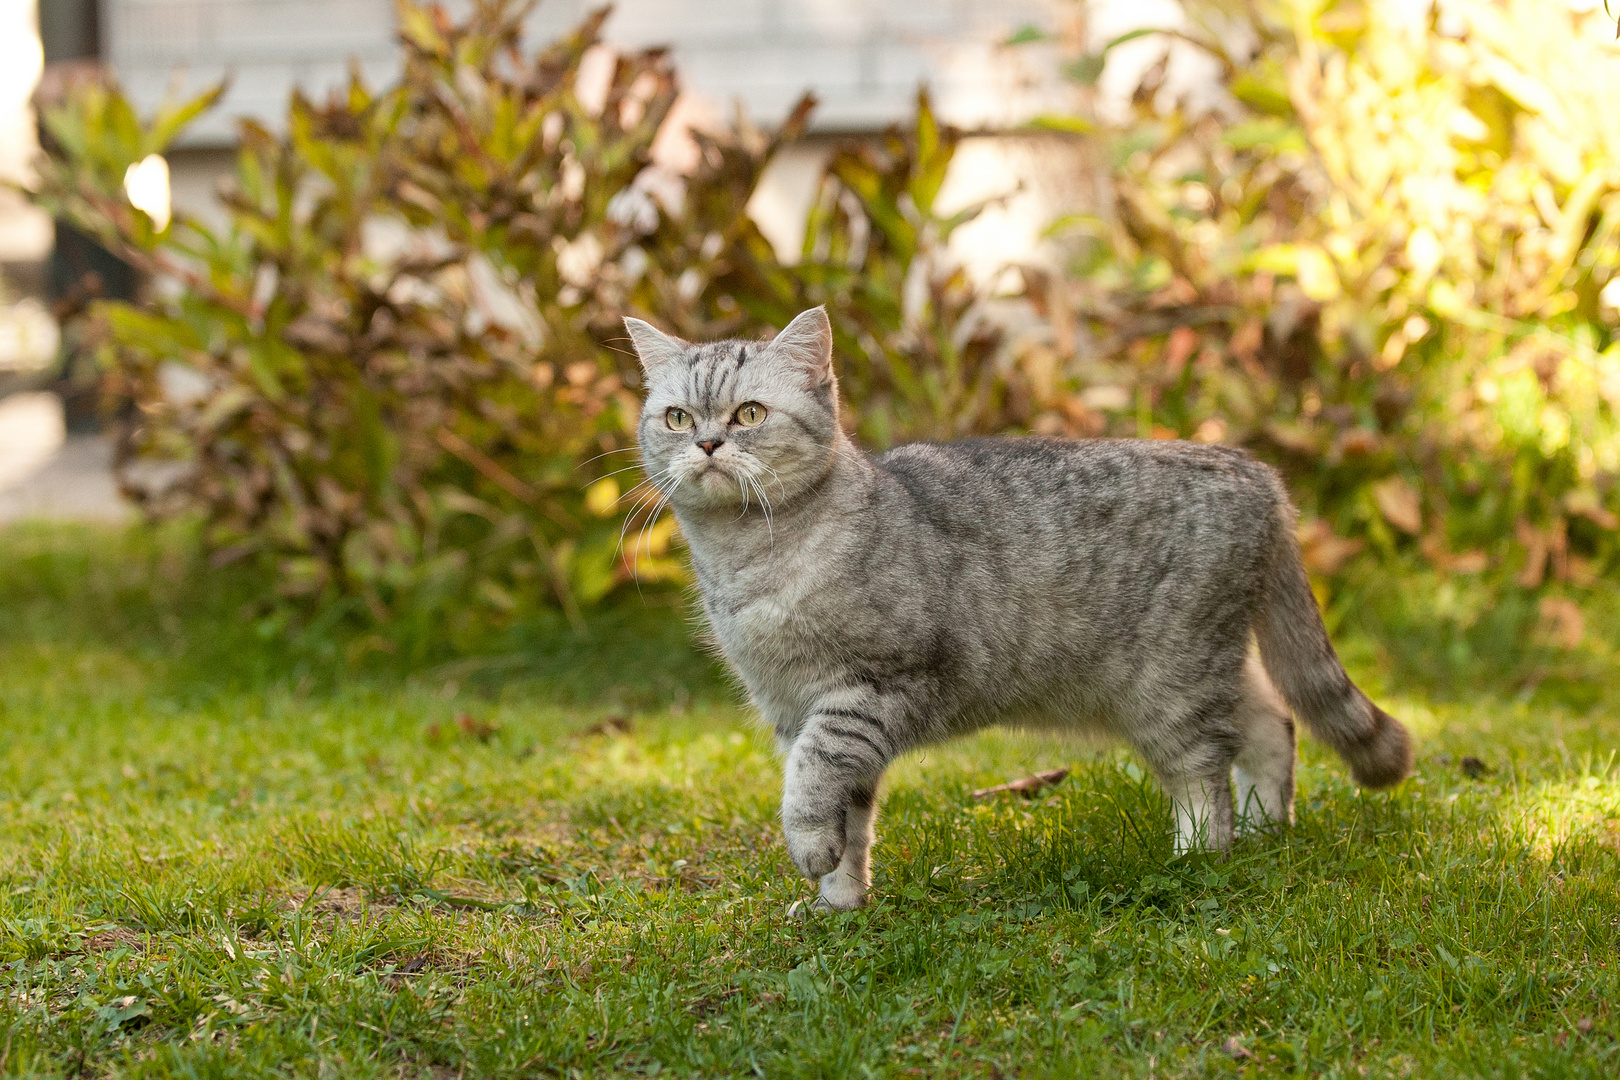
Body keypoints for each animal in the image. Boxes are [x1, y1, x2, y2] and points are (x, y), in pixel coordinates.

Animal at [625, 306, 1412, 913]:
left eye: (749, 413)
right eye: (676, 417)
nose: (708, 441)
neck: (749, 560)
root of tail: (1259, 476)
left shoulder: (869, 690)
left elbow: (813, 786)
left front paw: (813, 854)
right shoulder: (792, 707)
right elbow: (848, 817)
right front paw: (838, 905)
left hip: (1169, 685)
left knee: (1205, 775)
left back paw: (1199, 856)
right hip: (1207, 667)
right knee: (1273, 725)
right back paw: (1265, 832)